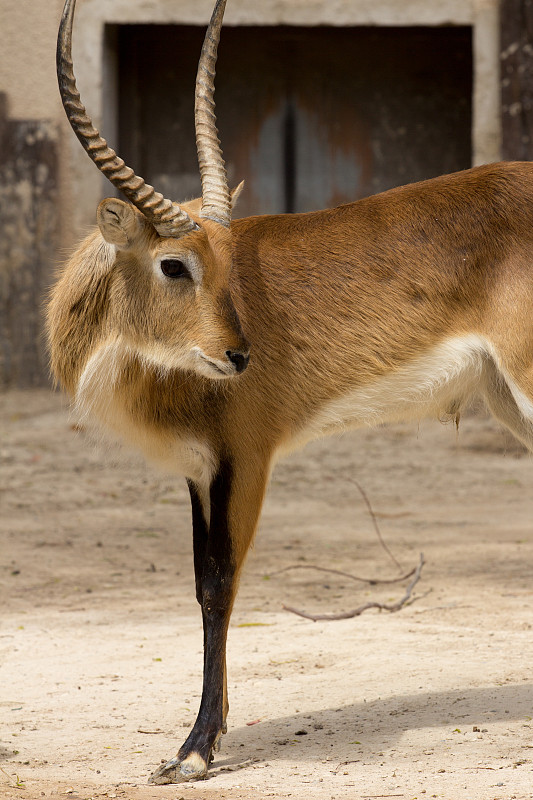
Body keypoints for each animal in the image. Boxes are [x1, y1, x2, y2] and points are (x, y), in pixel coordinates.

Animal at [47, 0, 532, 780]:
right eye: (177, 263)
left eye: (222, 258)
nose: (238, 356)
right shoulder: (198, 470)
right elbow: (198, 581)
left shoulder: (246, 456)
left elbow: (222, 583)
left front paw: (195, 749)